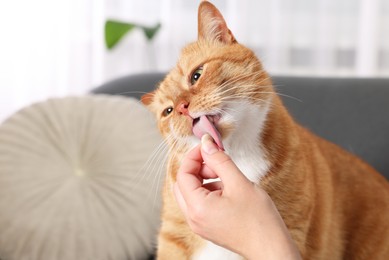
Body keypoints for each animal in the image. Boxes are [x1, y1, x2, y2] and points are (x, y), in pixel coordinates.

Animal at [142, 1, 388, 258]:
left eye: (196, 75)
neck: (237, 155)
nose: (181, 107)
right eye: (168, 111)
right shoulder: (172, 240)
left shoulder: (292, 229)